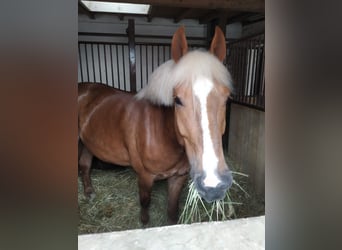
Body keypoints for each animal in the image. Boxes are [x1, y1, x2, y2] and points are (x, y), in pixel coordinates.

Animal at [78, 25, 234, 225]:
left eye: (227, 98)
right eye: (177, 100)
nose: (213, 184)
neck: (162, 132)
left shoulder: (178, 178)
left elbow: (173, 211)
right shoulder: (144, 177)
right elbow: (145, 203)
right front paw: (144, 224)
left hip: (88, 142)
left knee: (85, 164)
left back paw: (89, 192)